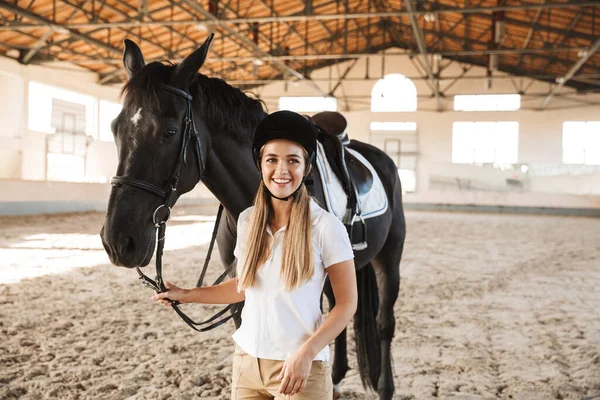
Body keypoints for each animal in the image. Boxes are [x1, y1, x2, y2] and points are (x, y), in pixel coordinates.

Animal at [101, 35, 406, 400]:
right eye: (115, 128)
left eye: (170, 132)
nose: (118, 242)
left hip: (389, 256)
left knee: (383, 323)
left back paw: (385, 387)